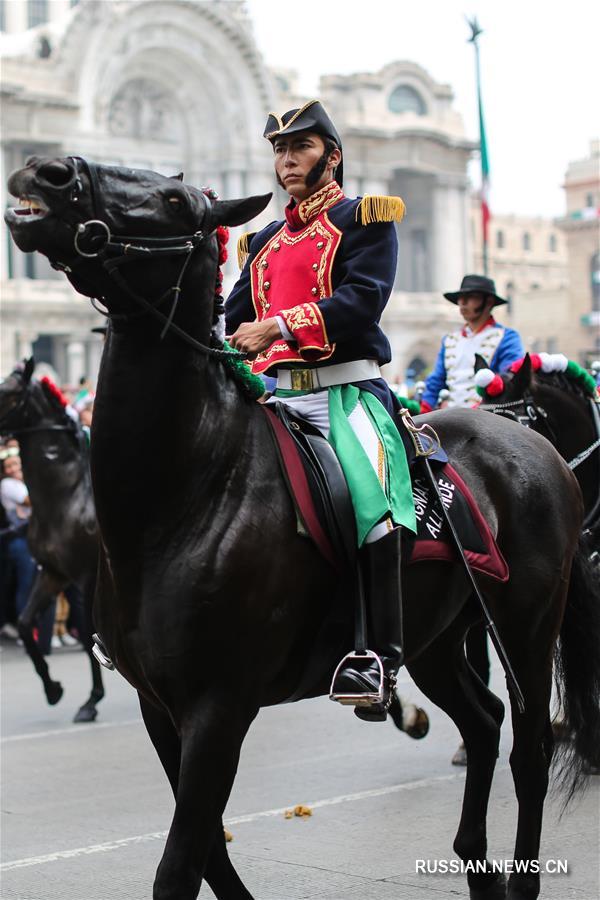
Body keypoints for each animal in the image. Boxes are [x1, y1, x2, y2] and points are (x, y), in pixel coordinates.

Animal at [0, 362, 103, 720]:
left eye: (9, 393)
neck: (68, 497)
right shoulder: (53, 572)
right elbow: (25, 622)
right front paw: (52, 689)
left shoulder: (87, 577)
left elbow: (88, 635)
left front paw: (91, 702)